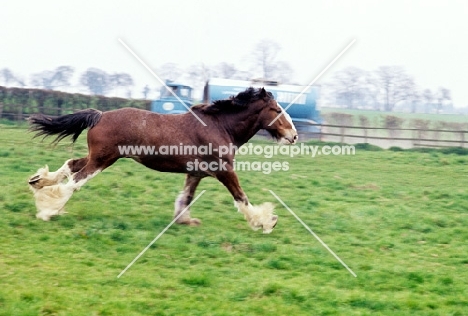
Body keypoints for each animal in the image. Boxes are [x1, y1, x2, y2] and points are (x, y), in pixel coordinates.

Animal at [27, 87, 298, 233]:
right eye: (277, 110)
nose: (293, 135)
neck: (220, 126)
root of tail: (100, 115)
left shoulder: (196, 173)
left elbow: (186, 197)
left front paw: (185, 220)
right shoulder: (224, 170)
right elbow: (241, 197)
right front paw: (266, 222)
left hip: (98, 157)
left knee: (71, 165)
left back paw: (38, 181)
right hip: (102, 160)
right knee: (75, 181)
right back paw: (49, 211)